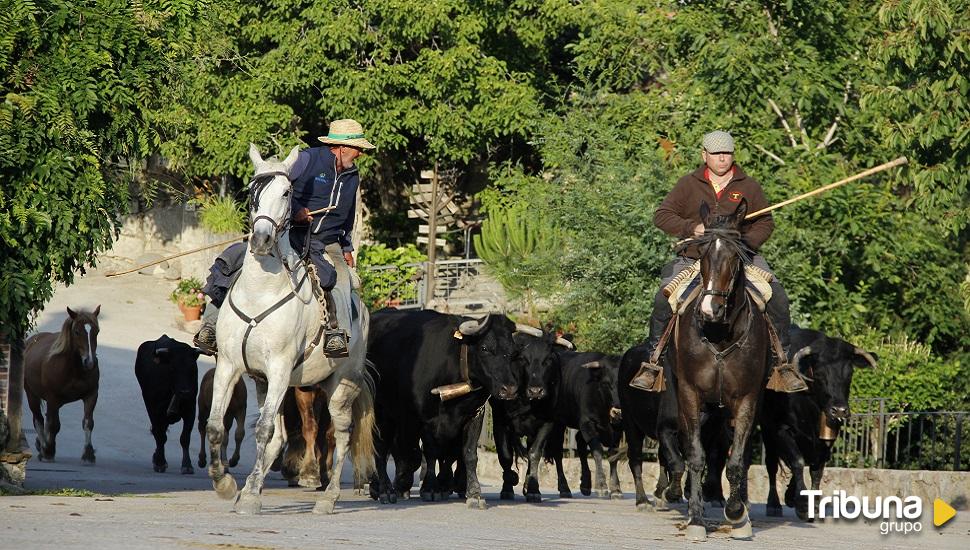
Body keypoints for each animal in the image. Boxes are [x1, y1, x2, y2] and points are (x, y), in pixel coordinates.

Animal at [24, 308, 102, 464]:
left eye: (97, 331)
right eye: (77, 332)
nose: (90, 362)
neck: (74, 370)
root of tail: (31, 342)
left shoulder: (91, 395)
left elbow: (88, 422)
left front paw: (88, 454)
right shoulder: (53, 398)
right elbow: (53, 425)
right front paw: (49, 451)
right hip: (32, 395)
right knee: (39, 420)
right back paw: (44, 447)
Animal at [134, 336, 199, 474]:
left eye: (192, 369)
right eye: (173, 368)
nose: (185, 392)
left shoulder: (191, 409)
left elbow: (185, 438)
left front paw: (187, 465)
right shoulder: (156, 410)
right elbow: (160, 435)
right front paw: (160, 462)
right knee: (157, 431)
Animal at [204, 144, 374, 516]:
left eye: (286, 192)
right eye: (252, 191)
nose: (261, 239)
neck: (260, 292)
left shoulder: (280, 368)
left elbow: (264, 430)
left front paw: (248, 496)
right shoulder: (231, 366)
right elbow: (215, 426)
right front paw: (226, 485)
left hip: (340, 384)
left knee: (341, 433)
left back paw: (328, 498)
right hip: (269, 384)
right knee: (280, 438)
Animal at [668, 201, 768, 540]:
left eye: (735, 257)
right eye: (702, 253)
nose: (710, 310)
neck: (719, 332)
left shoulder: (748, 399)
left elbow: (736, 460)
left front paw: (736, 513)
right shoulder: (689, 395)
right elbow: (696, 456)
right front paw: (696, 519)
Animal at [756, 328, 876, 520]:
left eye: (849, 373)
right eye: (819, 373)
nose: (839, 410)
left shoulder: (826, 439)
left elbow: (816, 469)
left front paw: (813, 504)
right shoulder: (782, 430)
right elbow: (797, 461)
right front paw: (803, 504)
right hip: (767, 429)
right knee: (772, 464)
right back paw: (774, 504)